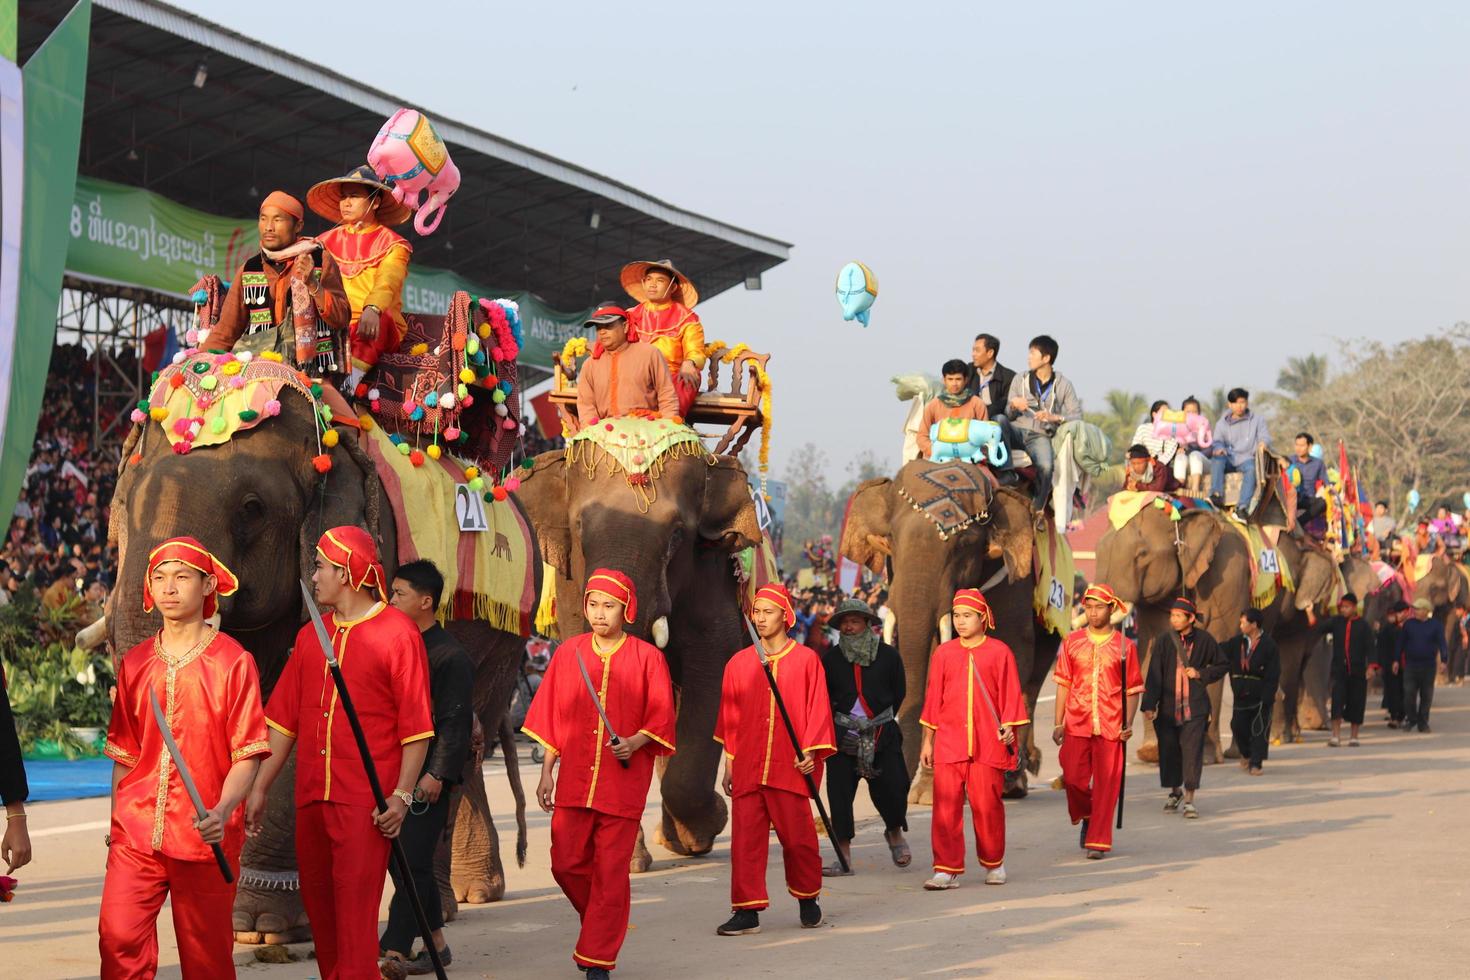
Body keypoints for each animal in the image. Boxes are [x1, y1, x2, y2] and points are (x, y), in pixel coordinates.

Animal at [106, 382, 540, 940]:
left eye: (252, 508)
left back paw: (449, 905)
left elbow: (296, 716)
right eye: (122, 507)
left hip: (506, 633)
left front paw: (261, 925)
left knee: (464, 740)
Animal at [517, 449, 764, 869]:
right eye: (580, 527)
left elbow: (712, 672)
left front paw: (708, 825)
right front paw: (627, 861)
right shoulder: (571, 589)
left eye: (678, 533)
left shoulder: (710, 581)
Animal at [840, 458, 1046, 799]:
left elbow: (1014, 648)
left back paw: (1015, 781)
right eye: (890, 537)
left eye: (964, 545)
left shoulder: (1013, 576)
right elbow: (935, 660)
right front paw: (928, 791)